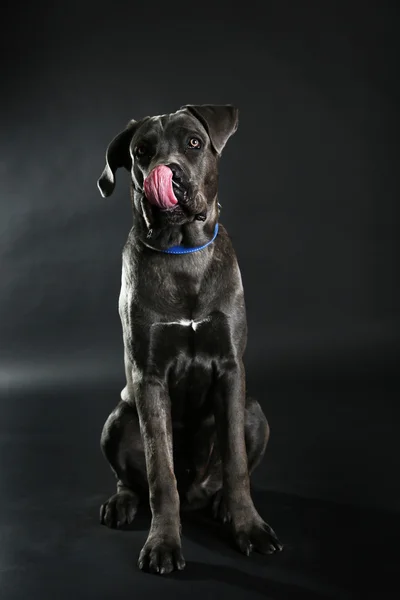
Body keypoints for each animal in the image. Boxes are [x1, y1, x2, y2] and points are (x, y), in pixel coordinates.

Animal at [96, 105, 282, 576]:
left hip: (255, 411)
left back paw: (221, 505)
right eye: (142, 152)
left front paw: (248, 527)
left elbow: (236, 463)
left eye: (194, 142)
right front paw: (163, 543)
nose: (168, 174)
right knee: (132, 479)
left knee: (228, 472)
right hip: (117, 418)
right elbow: (160, 472)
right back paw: (122, 504)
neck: (182, 255)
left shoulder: (231, 370)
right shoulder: (149, 377)